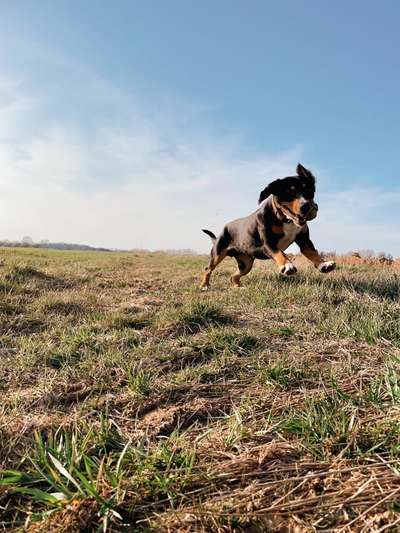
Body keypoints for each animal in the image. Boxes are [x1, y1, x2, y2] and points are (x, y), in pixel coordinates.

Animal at [199, 164, 334, 288]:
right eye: (289, 192)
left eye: (309, 191)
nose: (306, 206)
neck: (285, 219)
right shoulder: (268, 244)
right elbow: (280, 253)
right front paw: (287, 265)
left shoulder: (304, 240)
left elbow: (313, 252)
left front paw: (324, 264)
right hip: (217, 253)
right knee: (208, 269)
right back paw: (204, 285)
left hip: (246, 263)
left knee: (234, 276)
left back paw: (239, 287)